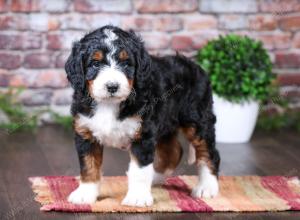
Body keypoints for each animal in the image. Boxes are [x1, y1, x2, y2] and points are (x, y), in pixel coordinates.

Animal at [65, 25, 220, 206]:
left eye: (126, 63)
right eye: (95, 63)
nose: (112, 86)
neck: (109, 104)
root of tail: (196, 66)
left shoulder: (143, 134)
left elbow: (139, 170)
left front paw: (137, 197)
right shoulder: (85, 132)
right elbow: (88, 165)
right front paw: (85, 194)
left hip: (197, 120)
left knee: (209, 153)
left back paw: (207, 188)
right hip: (165, 123)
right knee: (173, 152)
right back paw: (155, 178)